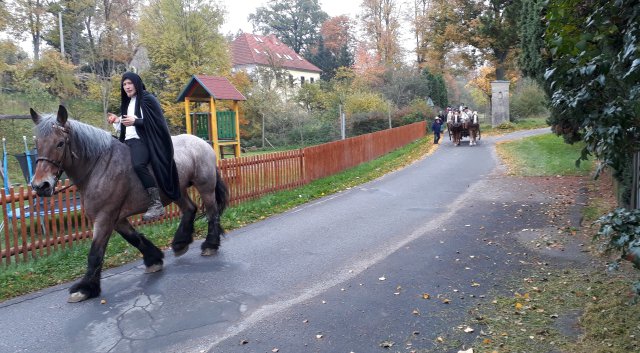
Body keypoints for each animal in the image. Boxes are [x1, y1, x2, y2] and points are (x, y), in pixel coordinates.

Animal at [30, 105, 230, 302]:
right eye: (37, 144)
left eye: (60, 143)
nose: (41, 186)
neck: (98, 166)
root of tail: (202, 143)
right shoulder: (116, 218)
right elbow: (133, 238)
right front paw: (154, 259)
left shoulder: (105, 217)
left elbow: (95, 252)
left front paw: (85, 288)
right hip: (176, 190)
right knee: (190, 209)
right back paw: (181, 243)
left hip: (205, 187)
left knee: (212, 213)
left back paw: (210, 245)